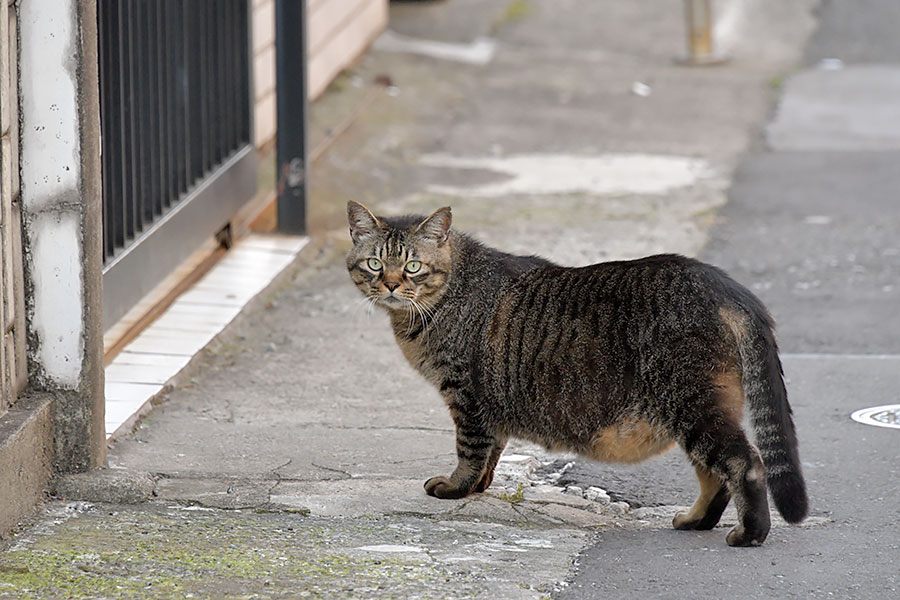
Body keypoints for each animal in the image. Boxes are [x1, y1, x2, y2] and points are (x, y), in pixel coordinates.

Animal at [344, 202, 808, 548]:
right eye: (374, 264)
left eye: (413, 267)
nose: (389, 285)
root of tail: (725, 284)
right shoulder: (492, 402)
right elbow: (492, 451)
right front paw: (479, 487)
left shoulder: (466, 395)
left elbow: (470, 451)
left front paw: (458, 487)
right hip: (695, 407)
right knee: (714, 475)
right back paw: (695, 520)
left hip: (691, 402)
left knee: (745, 463)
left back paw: (749, 534)